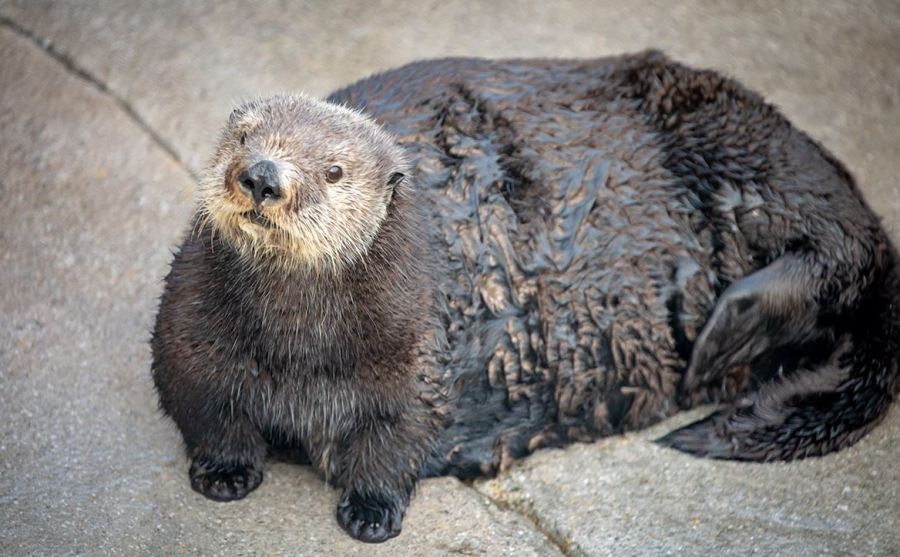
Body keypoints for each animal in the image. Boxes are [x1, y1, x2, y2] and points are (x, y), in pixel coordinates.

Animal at [153, 51, 900, 540]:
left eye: (333, 171)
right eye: (242, 137)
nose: (261, 175)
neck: (300, 351)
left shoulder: (415, 353)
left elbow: (398, 435)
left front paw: (372, 509)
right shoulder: (190, 330)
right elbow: (204, 404)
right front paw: (224, 473)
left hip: (742, 143)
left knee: (846, 248)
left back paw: (726, 331)